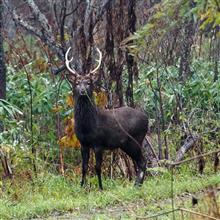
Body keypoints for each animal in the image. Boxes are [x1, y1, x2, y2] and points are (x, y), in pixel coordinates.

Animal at [64, 46, 149, 189]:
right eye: (76, 83)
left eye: (88, 82)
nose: (82, 91)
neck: (88, 125)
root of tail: (147, 119)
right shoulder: (83, 143)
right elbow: (84, 167)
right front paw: (82, 186)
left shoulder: (99, 143)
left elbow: (97, 167)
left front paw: (101, 188)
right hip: (126, 144)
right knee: (140, 162)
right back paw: (137, 184)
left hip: (136, 139)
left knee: (143, 162)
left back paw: (137, 185)